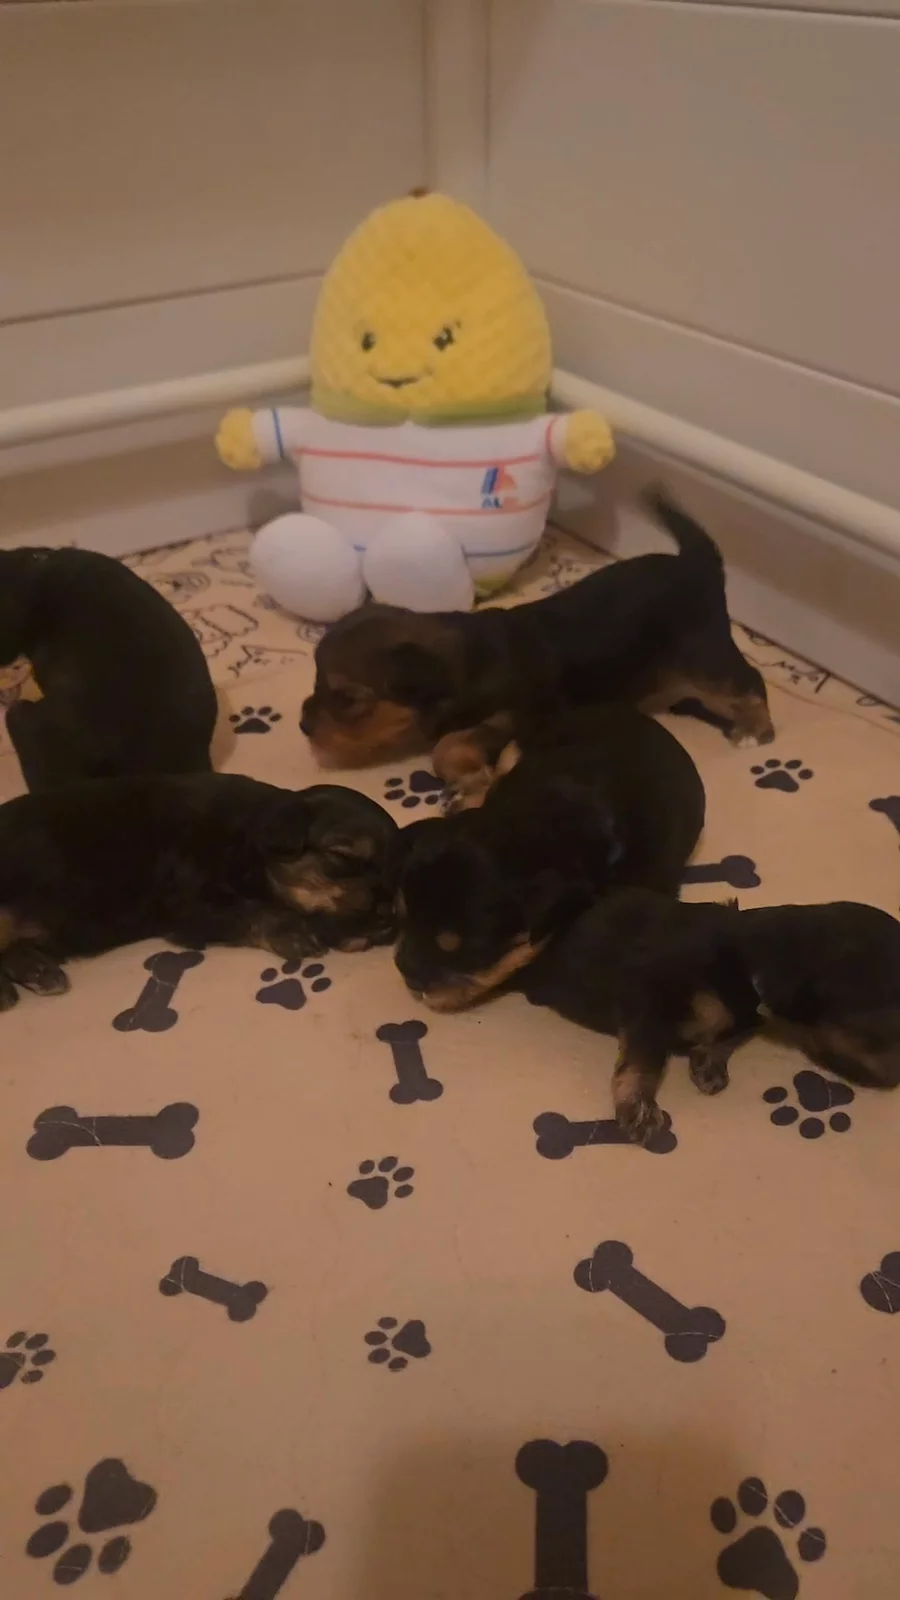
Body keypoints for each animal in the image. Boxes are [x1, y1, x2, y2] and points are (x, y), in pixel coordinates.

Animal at [0, 773, 398, 1008]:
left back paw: (39, 972)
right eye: (342, 857)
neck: (245, 841)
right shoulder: (188, 904)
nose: (389, 916)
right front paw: (294, 932)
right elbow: (253, 910)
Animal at [300, 485, 773, 773]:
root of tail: (697, 563)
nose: (303, 725)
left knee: (750, 680)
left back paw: (754, 731)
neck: (462, 667)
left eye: (346, 699)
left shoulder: (517, 717)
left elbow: (448, 745)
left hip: (704, 656)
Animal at [521, 889, 900, 1144]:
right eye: (886, 1024)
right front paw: (639, 1108)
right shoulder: (649, 998)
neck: (753, 957)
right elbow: (646, 1059)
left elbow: (729, 1032)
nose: (895, 1080)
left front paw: (709, 1063)